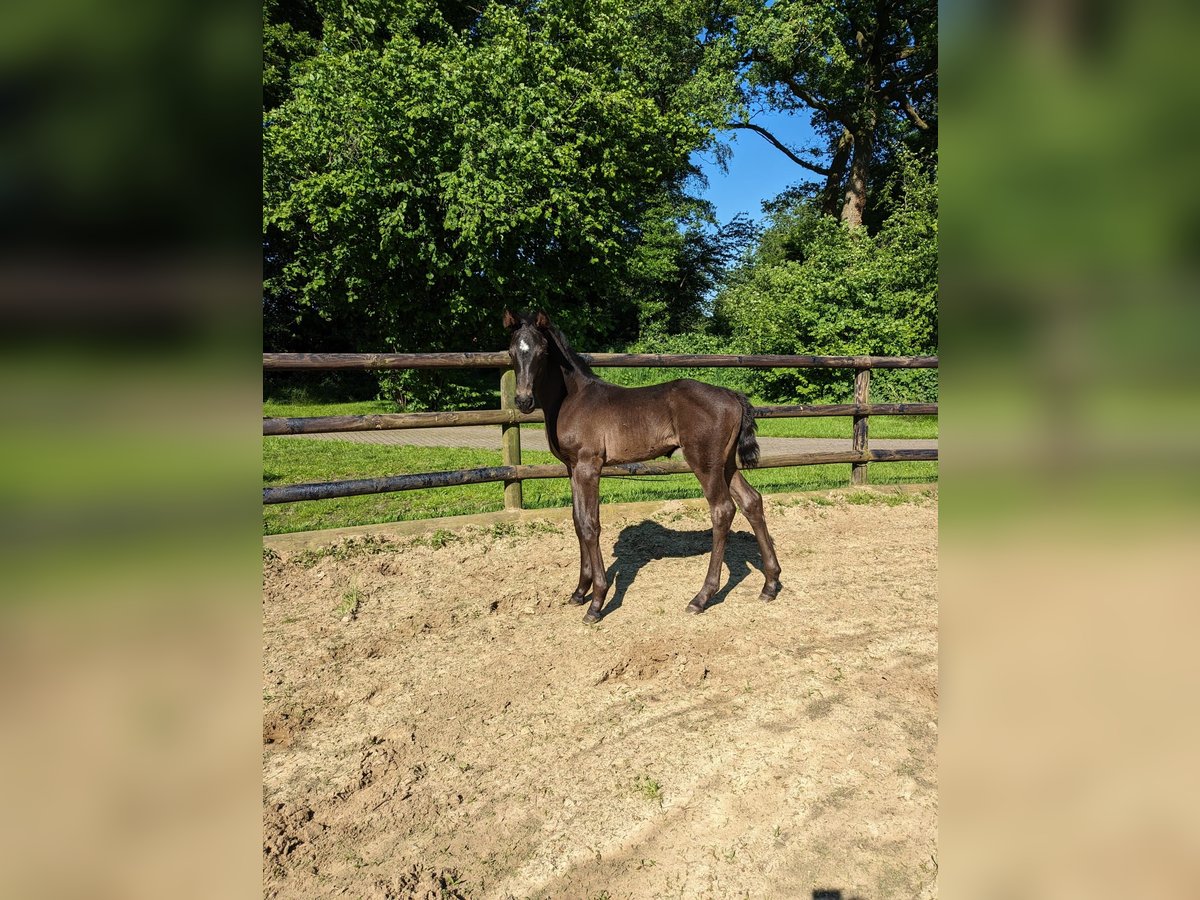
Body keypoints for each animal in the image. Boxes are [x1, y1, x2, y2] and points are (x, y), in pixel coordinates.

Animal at [501, 309, 782, 619]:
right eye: (512, 351)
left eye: (542, 352)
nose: (523, 400)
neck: (572, 398)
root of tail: (732, 395)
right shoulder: (571, 468)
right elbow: (577, 521)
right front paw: (579, 592)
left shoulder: (589, 466)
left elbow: (590, 525)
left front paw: (597, 601)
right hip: (726, 463)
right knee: (751, 501)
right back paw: (770, 584)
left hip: (704, 462)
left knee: (722, 509)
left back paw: (701, 597)